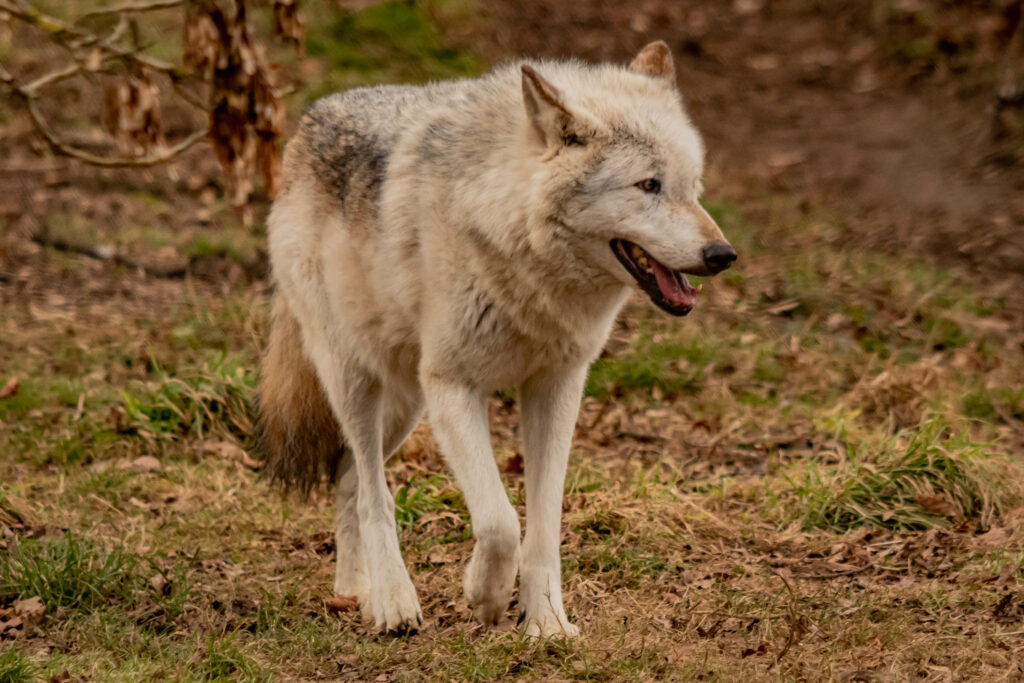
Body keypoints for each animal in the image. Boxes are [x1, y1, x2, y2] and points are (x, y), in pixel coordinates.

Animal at [256, 41, 736, 638]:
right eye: (648, 185)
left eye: (693, 187)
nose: (723, 255)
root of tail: (308, 122)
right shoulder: (454, 386)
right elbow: (500, 521)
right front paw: (484, 597)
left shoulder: (557, 389)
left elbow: (544, 524)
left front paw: (547, 624)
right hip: (358, 382)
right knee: (371, 489)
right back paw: (394, 603)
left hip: (407, 403)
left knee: (349, 480)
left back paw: (355, 593)